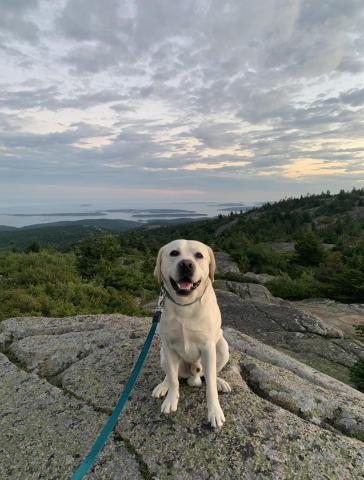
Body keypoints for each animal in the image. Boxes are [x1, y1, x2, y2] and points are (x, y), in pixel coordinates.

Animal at [151, 240, 230, 428]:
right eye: (174, 253)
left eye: (199, 255)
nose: (186, 264)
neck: (184, 305)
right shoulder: (169, 347)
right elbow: (173, 380)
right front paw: (171, 400)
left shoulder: (208, 347)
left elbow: (210, 387)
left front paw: (215, 412)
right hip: (163, 354)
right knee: (170, 375)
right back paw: (163, 386)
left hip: (223, 347)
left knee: (211, 374)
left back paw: (220, 382)